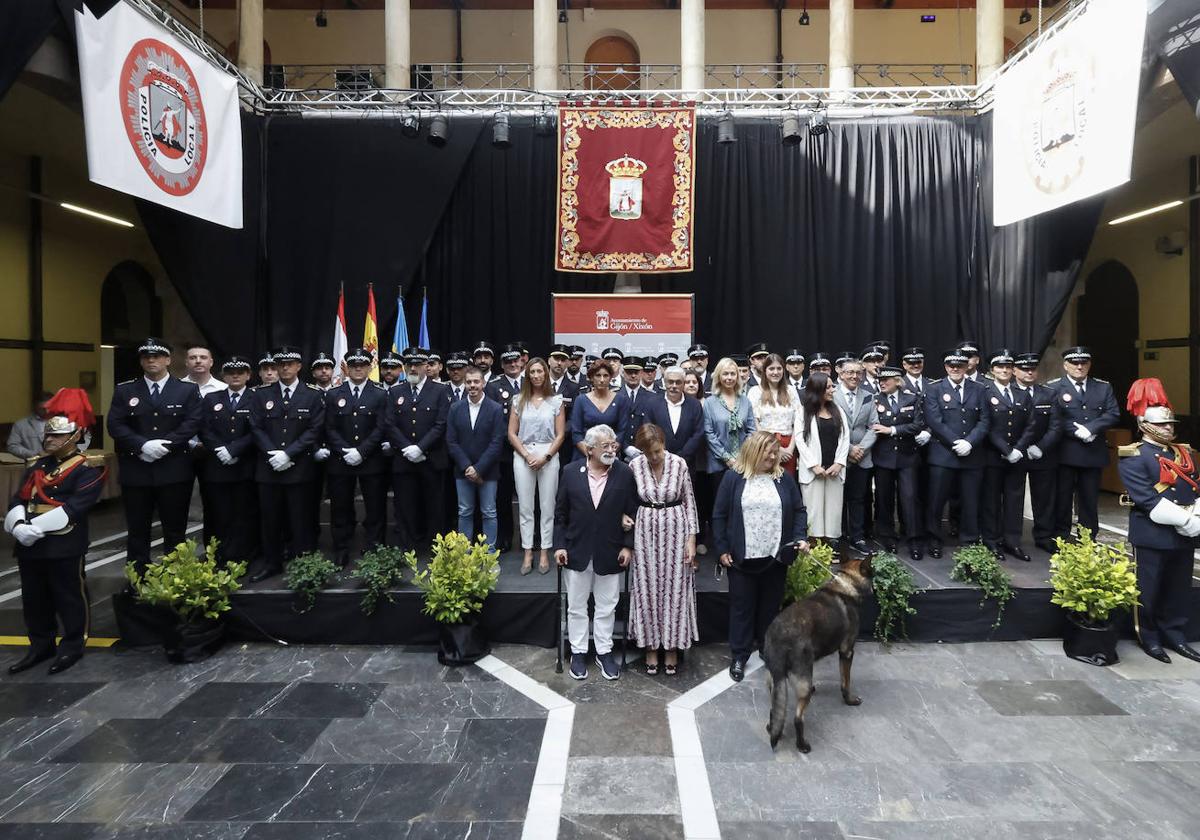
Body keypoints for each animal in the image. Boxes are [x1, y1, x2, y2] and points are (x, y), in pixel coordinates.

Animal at [768, 556, 873, 753]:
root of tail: (780, 635)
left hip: (775, 682)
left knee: (775, 710)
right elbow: (845, 682)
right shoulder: (847, 652)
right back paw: (802, 745)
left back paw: (772, 728)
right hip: (802, 686)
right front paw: (849, 700)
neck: (847, 583)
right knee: (798, 719)